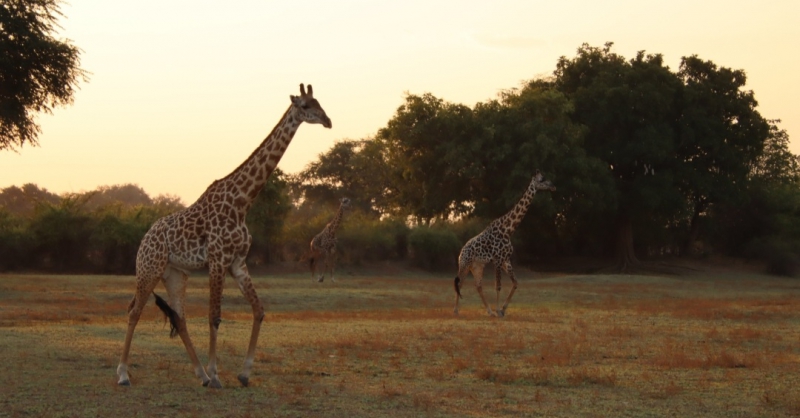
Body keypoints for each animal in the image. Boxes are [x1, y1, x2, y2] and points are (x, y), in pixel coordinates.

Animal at [115, 85, 332, 388]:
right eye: (304, 105)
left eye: (319, 102)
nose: (327, 121)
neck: (242, 202)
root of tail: (144, 238)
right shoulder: (218, 259)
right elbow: (214, 317)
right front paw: (218, 375)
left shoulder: (238, 261)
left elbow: (259, 310)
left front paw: (243, 373)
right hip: (149, 268)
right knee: (134, 310)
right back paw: (124, 374)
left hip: (175, 273)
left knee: (179, 317)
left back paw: (200, 375)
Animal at [450, 170, 556, 316]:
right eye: (542, 179)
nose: (553, 186)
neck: (508, 229)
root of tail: (461, 252)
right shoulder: (498, 259)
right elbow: (498, 286)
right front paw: (499, 310)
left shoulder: (506, 259)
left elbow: (515, 282)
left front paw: (503, 309)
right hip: (465, 264)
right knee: (459, 283)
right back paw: (456, 310)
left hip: (477, 266)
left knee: (478, 286)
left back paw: (489, 311)